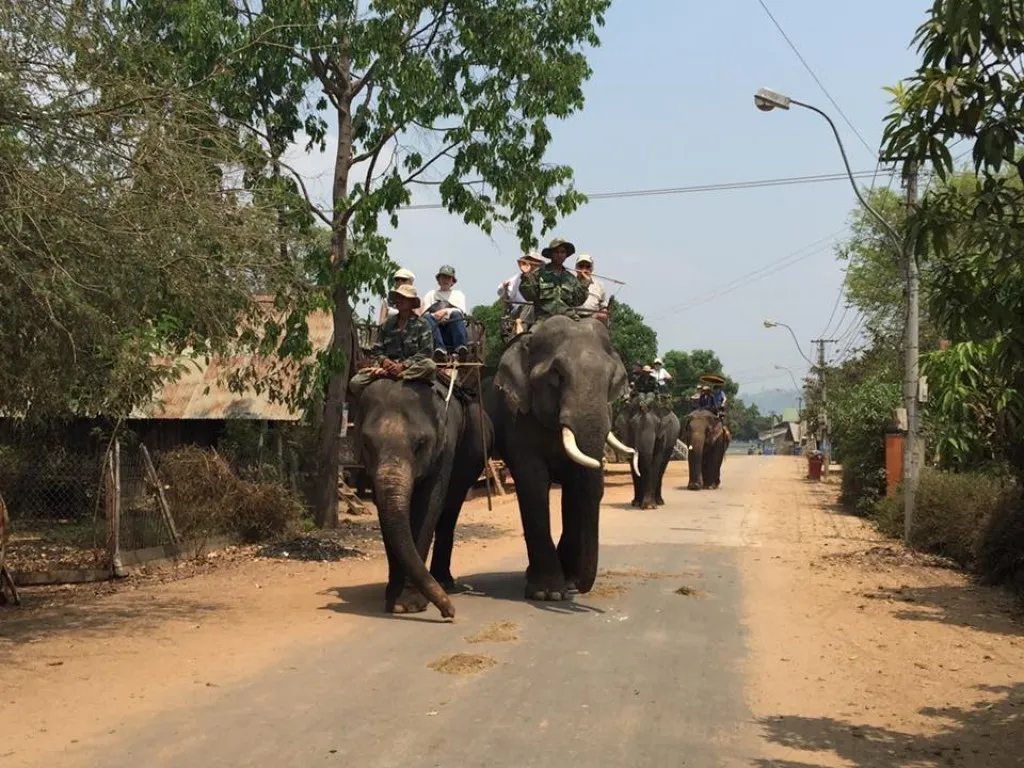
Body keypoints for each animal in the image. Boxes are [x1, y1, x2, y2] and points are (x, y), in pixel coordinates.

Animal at [354, 376, 493, 622]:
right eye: (367, 444)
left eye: (420, 444)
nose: (449, 612)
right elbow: (383, 510)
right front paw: (393, 598)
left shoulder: (445, 447)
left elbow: (427, 505)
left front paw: (407, 605)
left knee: (450, 507)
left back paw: (445, 583)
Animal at [485, 315, 630, 606]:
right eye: (557, 375)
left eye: (612, 380)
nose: (582, 588)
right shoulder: (518, 419)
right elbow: (533, 483)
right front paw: (548, 593)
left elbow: (576, 486)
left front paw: (569, 583)